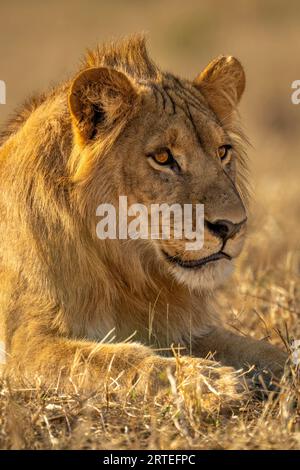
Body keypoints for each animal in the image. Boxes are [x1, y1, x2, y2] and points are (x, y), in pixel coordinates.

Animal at [0, 34, 286, 396]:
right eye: (163, 157)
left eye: (223, 152)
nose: (231, 226)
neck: (126, 270)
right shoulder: (22, 345)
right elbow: (116, 360)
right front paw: (209, 381)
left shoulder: (181, 327)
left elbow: (263, 350)